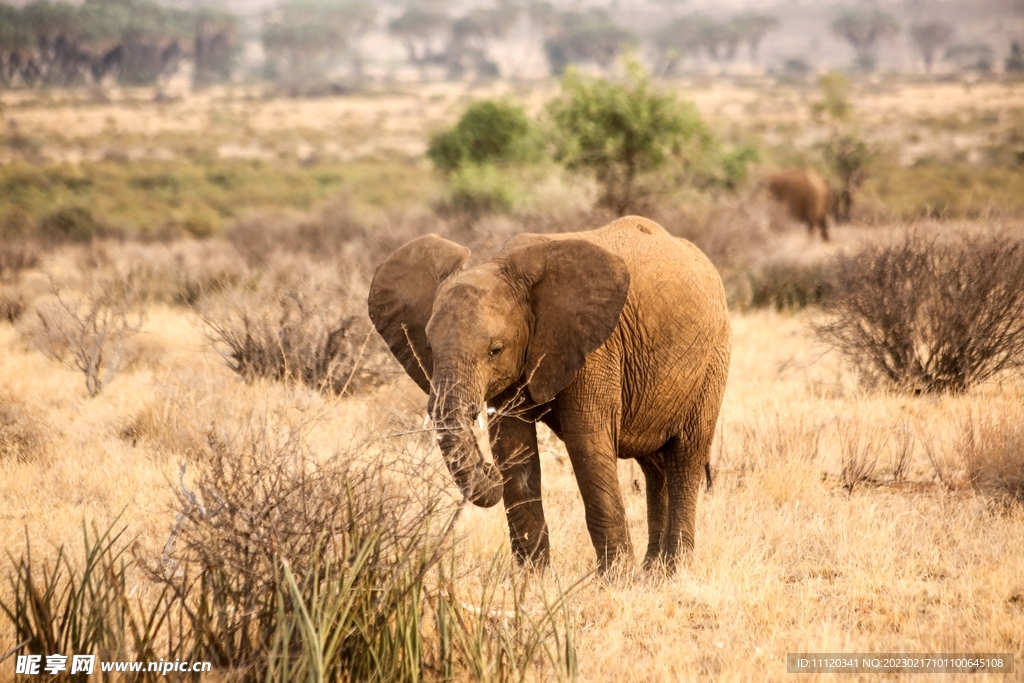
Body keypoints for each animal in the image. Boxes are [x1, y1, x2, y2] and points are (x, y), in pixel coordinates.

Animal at [372, 218, 733, 573]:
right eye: (428, 347)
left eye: (495, 350)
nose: (487, 470)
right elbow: (513, 446)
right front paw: (533, 577)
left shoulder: (596, 349)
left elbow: (587, 441)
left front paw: (616, 578)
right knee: (655, 466)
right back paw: (653, 570)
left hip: (712, 359)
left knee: (685, 456)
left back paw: (675, 568)